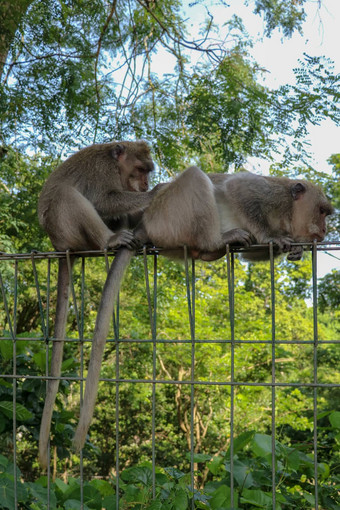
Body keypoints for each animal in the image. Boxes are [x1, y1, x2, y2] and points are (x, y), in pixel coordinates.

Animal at [37, 138, 155, 466]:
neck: (117, 163)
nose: (145, 185)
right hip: (66, 229)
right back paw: (109, 240)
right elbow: (104, 199)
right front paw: (154, 195)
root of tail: (58, 246)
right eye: (142, 170)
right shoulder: (104, 174)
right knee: (67, 196)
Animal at [71, 166, 332, 450]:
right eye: (322, 211)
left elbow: (250, 254)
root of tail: (144, 223)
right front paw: (273, 236)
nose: (325, 231)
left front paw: (296, 249)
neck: (287, 214)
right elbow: (240, 189)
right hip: (169, 218)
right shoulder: (271, 195)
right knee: (196, 177)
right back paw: (217, 240)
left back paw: (211, 252)